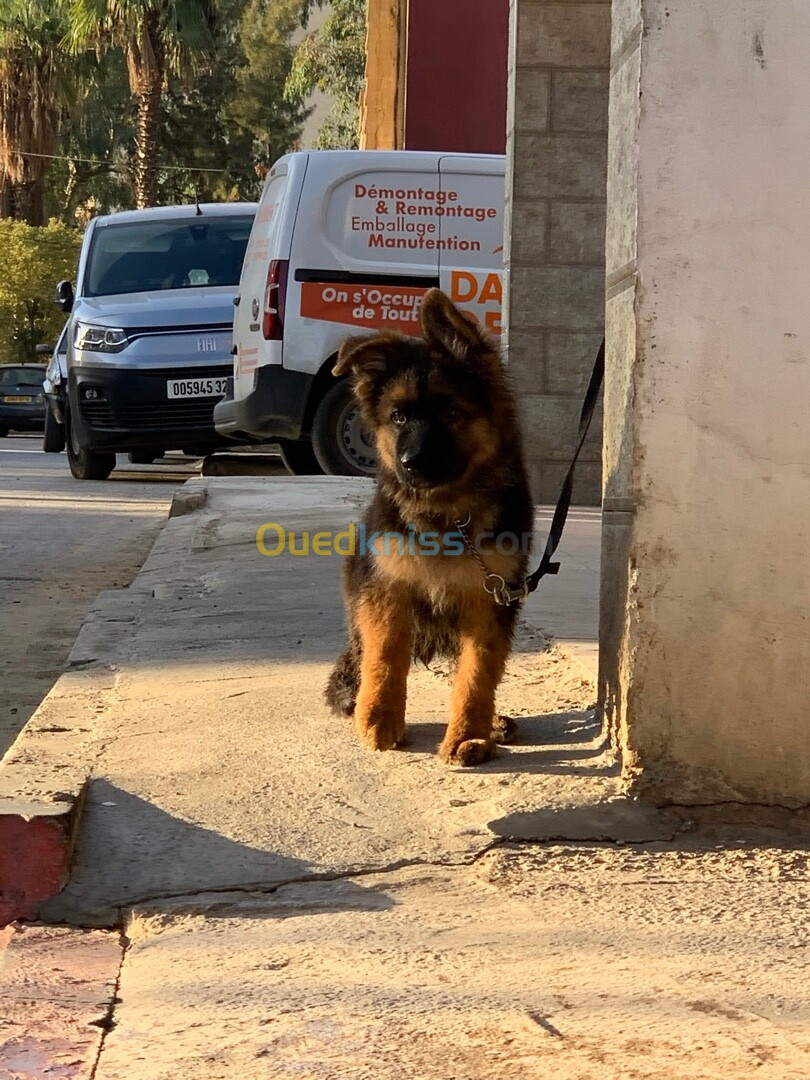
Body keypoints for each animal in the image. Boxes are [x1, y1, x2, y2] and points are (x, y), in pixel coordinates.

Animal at [326, 291, 535, 764]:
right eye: (399, 417)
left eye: (452, 413)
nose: (411, 465)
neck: (447, 513)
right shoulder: (387, 588)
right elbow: (385, 656)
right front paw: (378, 717)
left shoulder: (489, 599)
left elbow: (477, 671)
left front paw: (468, 735)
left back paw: (494, 724)